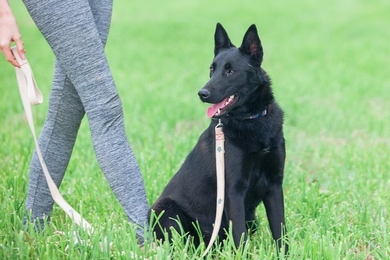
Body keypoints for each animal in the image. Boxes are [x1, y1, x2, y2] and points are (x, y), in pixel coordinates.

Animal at [148, 23, 288, 253]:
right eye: (212, 69)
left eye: (230, 71)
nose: (202, 94)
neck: (250, 119)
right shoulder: (234, 191)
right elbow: (240, 235)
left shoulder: (274, 185)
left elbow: (280, 230)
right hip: (167, 210)